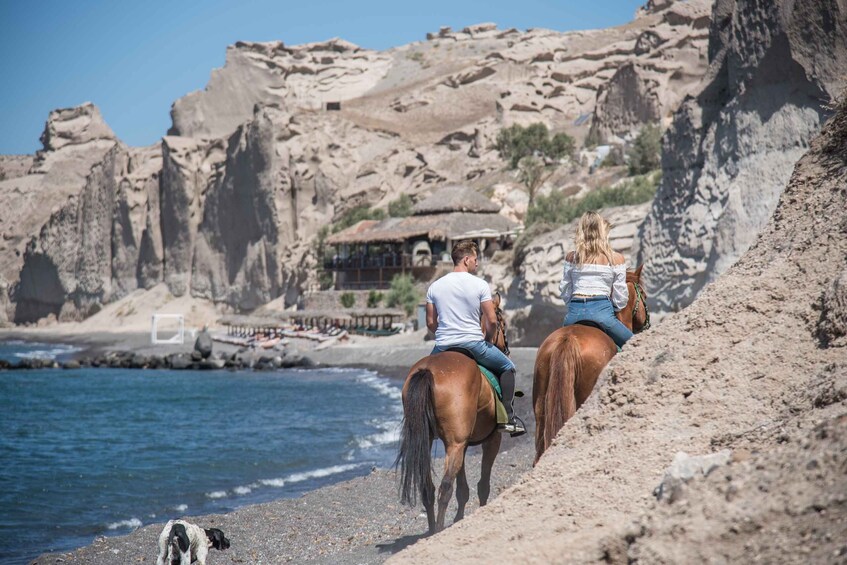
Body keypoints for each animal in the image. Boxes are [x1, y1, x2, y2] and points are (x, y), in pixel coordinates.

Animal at [398, 294, 510, 532]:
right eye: (502, 322)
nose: (506, 349)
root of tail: (427, 371)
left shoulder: (463, 444)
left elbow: (463, 488)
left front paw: (459, 519)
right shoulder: (491, 440)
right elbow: (482, 485)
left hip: (435, 442)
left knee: (428, 488)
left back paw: (432, 530)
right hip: (456, 445)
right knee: (445, 488)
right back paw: (439, 529)